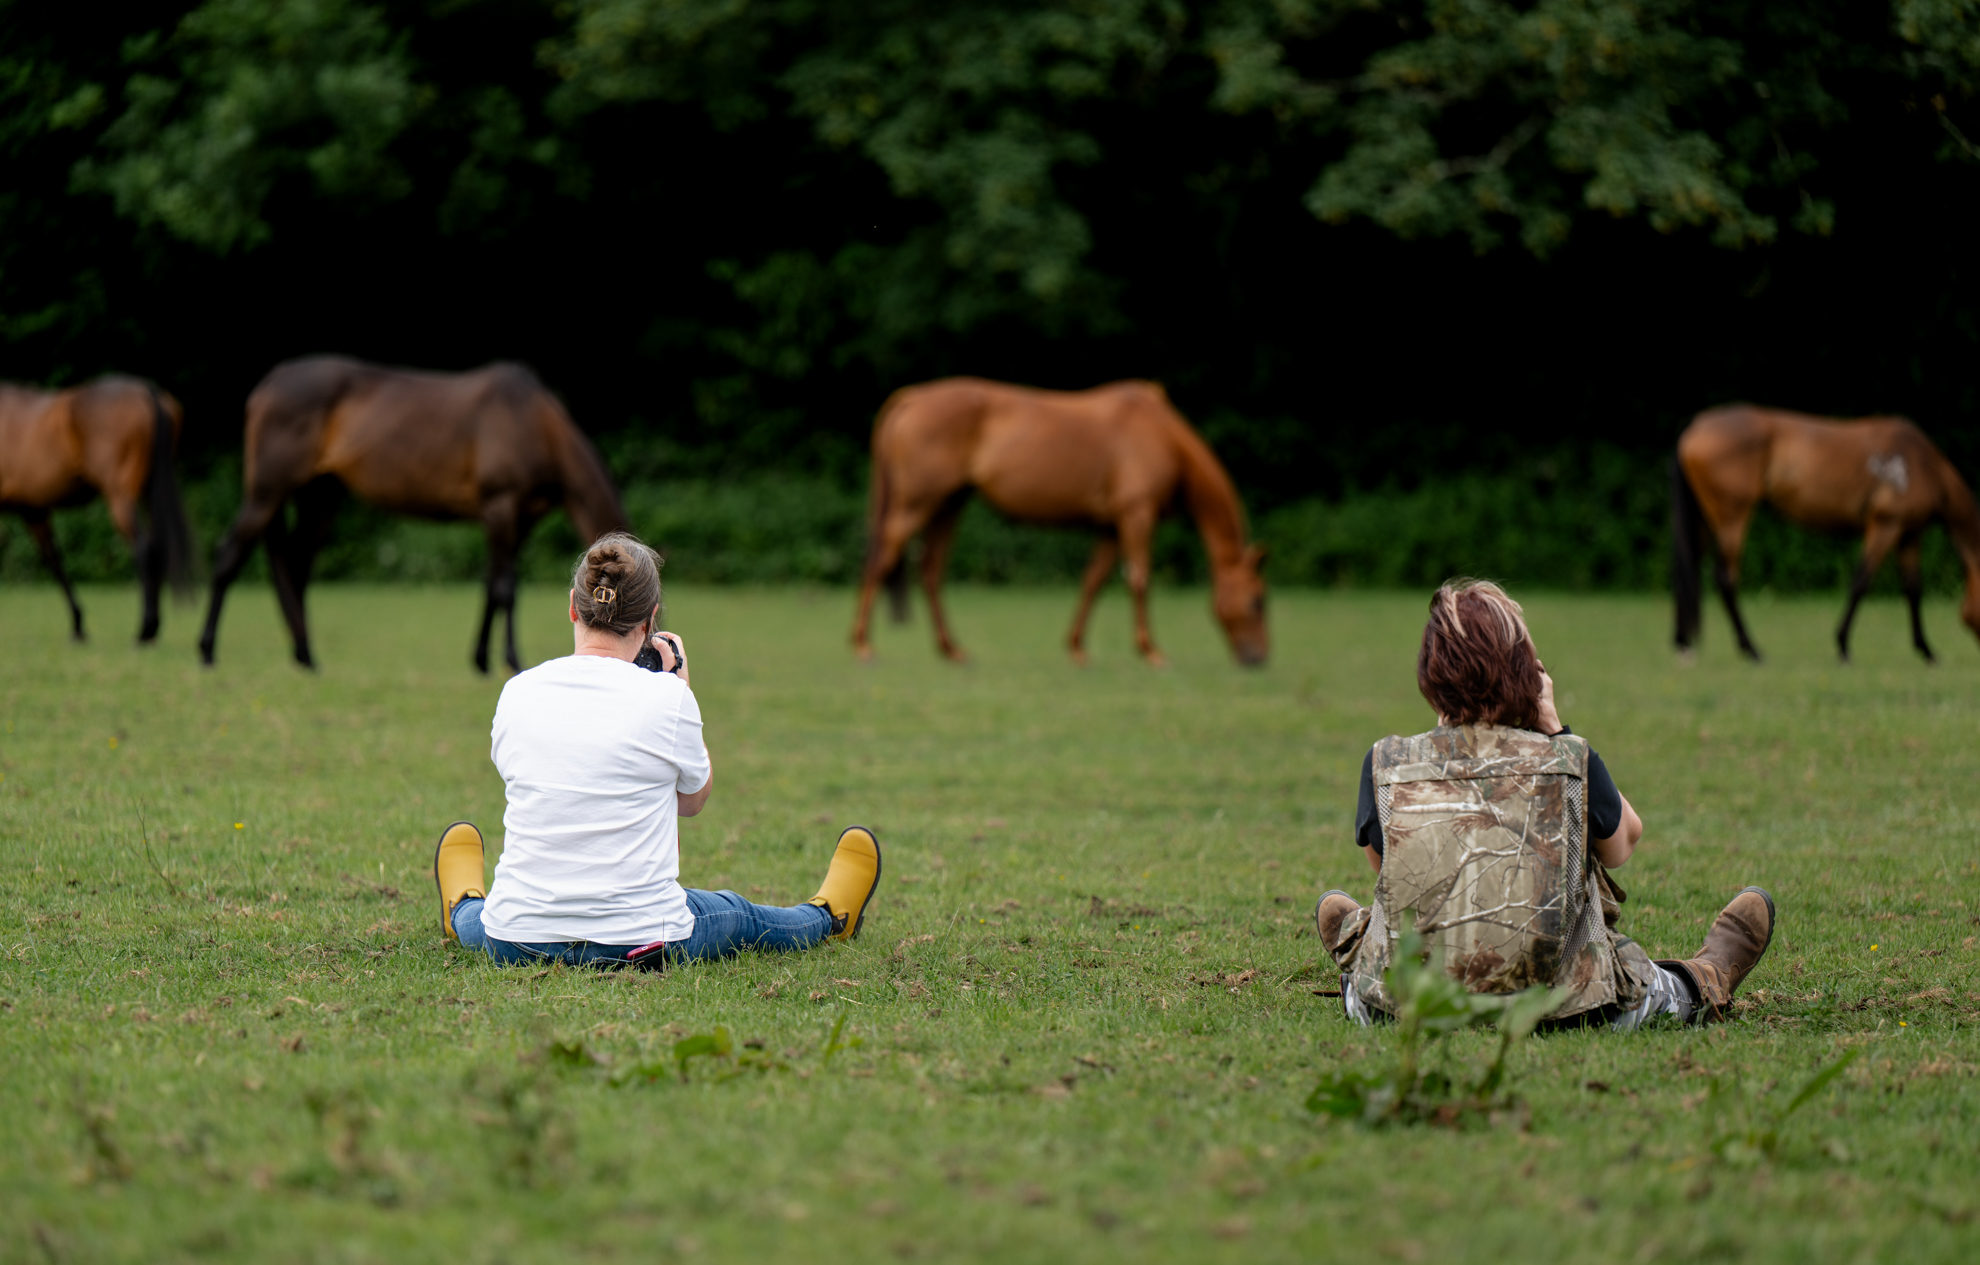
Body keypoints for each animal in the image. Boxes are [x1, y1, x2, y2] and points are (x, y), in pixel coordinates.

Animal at [0, 375, 194, 642]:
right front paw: (78, 625)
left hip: (120, 497)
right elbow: (55, 561)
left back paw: (145, 629)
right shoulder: (33, 510)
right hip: (149, 493)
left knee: (143, 549)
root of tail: (146, 391)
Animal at [198, 356, 627, 673]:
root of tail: (266, 387)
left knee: (296, 569)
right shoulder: (501, 508)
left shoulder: (520, 521)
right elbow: (505, 589)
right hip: (267, 492)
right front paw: (511, 659)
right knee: (230, 556)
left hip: (319, 497)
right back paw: (207, 651)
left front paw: (481, 660)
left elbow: (492, 586)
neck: (533, 421)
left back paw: (306, 656)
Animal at [850, 377, 1268, 667]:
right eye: (1258, 601)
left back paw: (951, 650)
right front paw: (1151, 651)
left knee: (930, 569)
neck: (1165, 437)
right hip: (919, 502)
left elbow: (1093, 581)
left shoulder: (1110, 524)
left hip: (950, 502)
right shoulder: (1136, 512)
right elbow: (1138, 579)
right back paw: (862, 645)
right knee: (881, 560)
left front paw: (1077, 648)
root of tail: (911, 396)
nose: (1260, 659)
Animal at [1673, 404, 1980, 662]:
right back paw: (1751, 649)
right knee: (1725, 578)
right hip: (1732, 518)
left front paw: (1926, 649)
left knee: (1688, 570)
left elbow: (1913, 589)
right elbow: (1860, 582)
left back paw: (1683, 644)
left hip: (1705, 521)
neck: (1924, 465)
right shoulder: (1885, 525)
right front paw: (1843, 645)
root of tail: (1695, 429)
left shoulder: (1908, 534)